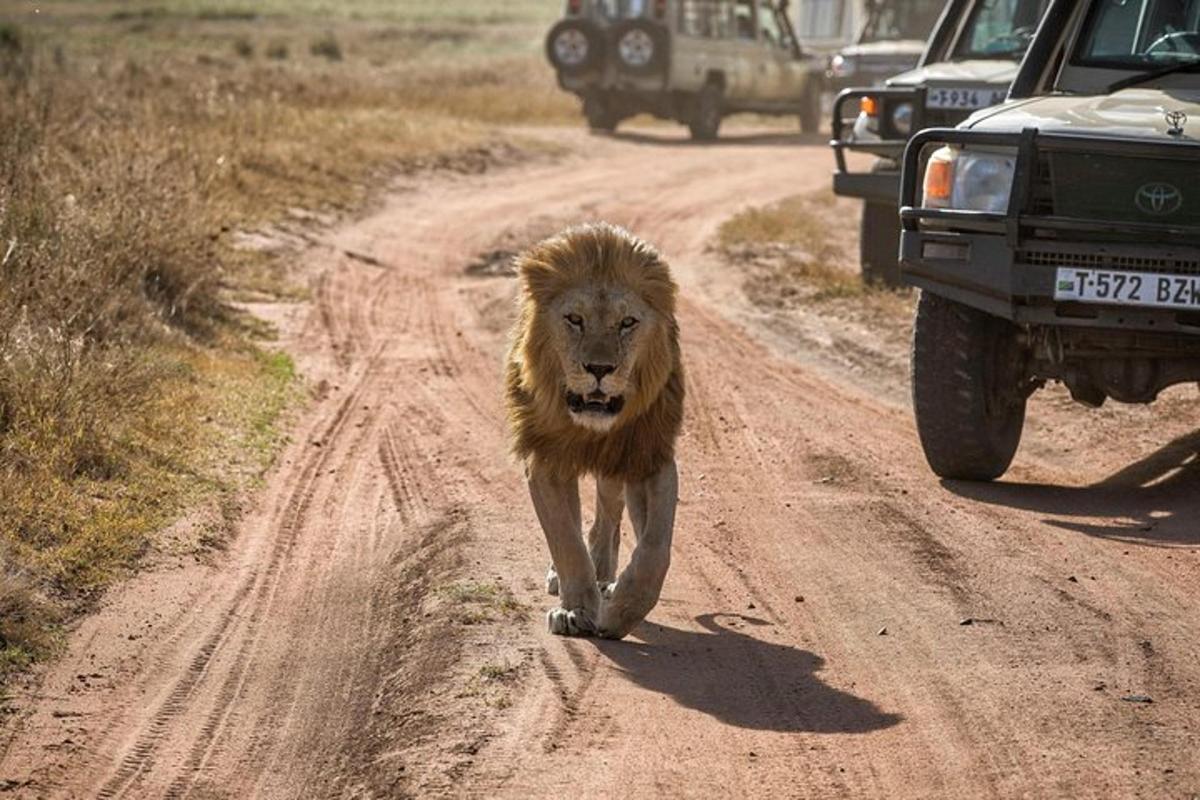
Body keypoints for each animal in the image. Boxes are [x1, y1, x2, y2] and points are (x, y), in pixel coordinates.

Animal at [504, 221, 686, 642]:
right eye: (574, 319)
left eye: (627, 322)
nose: (599, 369)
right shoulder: (545, 459)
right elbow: (565, 539)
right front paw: (575, 611)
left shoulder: (649, 456)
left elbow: (656, 548)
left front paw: (620, 611)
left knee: (609, 514)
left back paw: (605, 579)